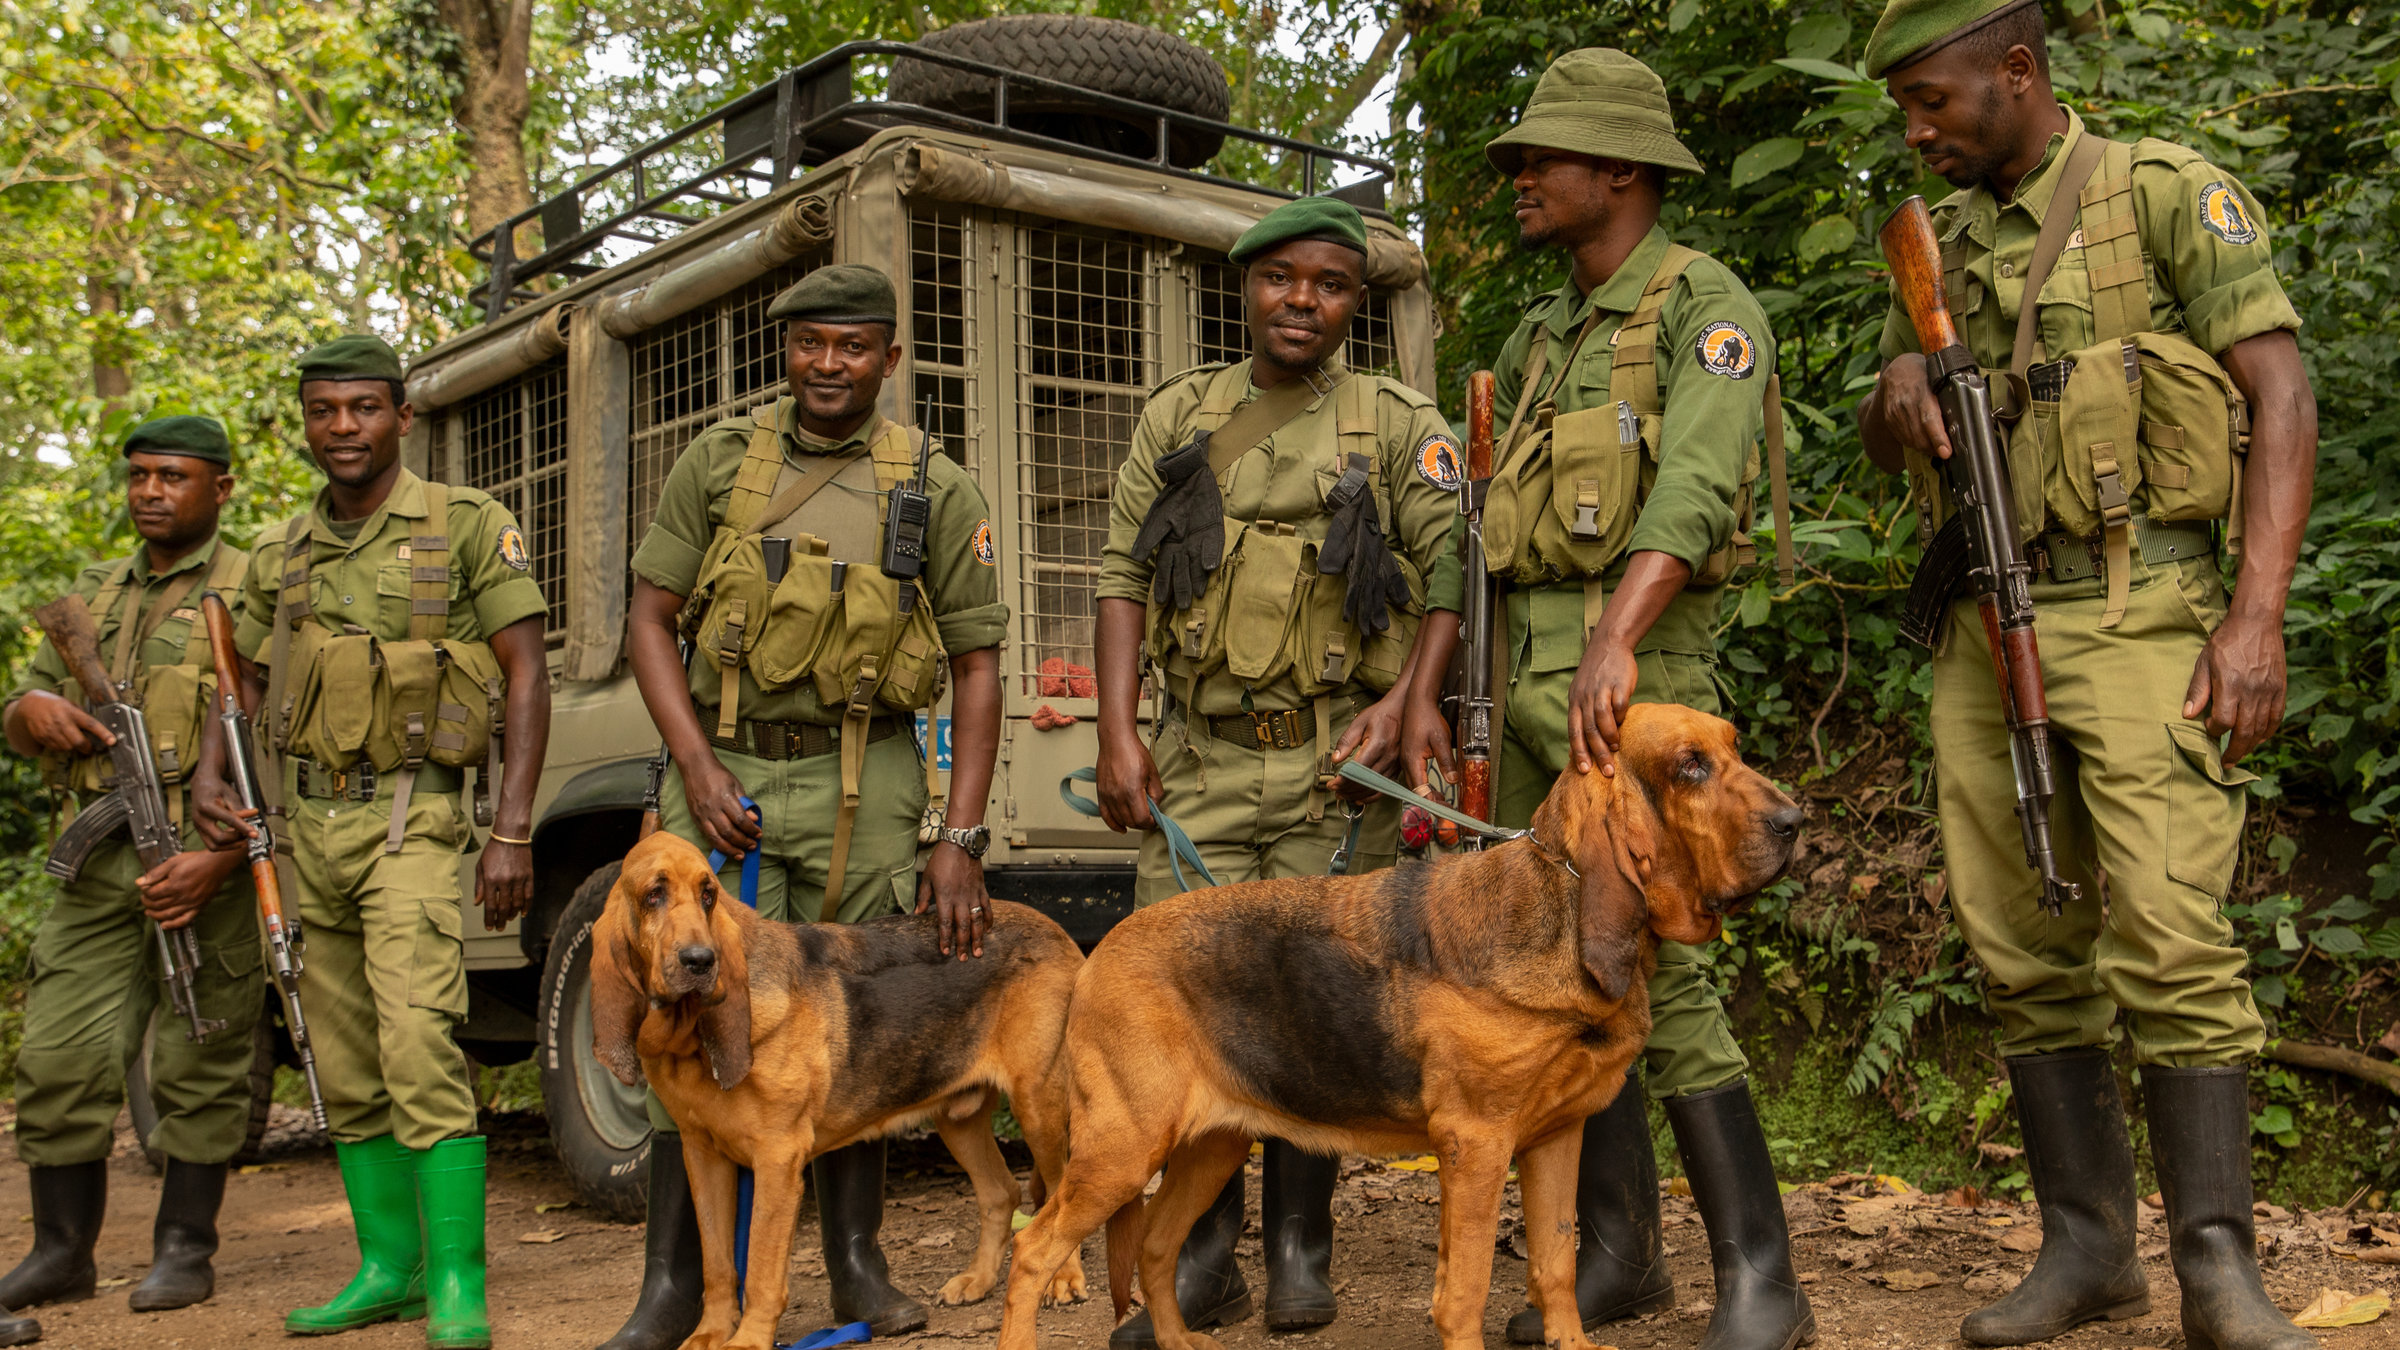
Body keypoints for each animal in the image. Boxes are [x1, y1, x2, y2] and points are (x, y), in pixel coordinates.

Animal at [590, 831, 1089, 1345]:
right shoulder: (702, 1155)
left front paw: (748, 1340)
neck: (692, 1038)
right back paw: (979, 1279)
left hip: (1038, 1106)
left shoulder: (777, 1159)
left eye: (708, 895)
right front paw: (710, 1333)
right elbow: (718, 1263)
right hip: (957, 1116)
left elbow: (762, 1268)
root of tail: (1058, 930)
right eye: (654, 894)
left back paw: (1065, 1280)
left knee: (1057, 1195)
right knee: (1001, 1192)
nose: (700, 961)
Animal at [993, 696, 1804, 1345]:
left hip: (1209, 1146)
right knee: (1034, 1252)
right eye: (1690, 766)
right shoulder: (1476, 1145)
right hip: (1122, 1151)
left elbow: (1554, 1268)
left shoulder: (1555, 1139)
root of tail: (1098, 954)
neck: (1562, 901)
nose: (1797, 822)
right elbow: (1465, 1290)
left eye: (1733, 747)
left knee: (1157, 1251)